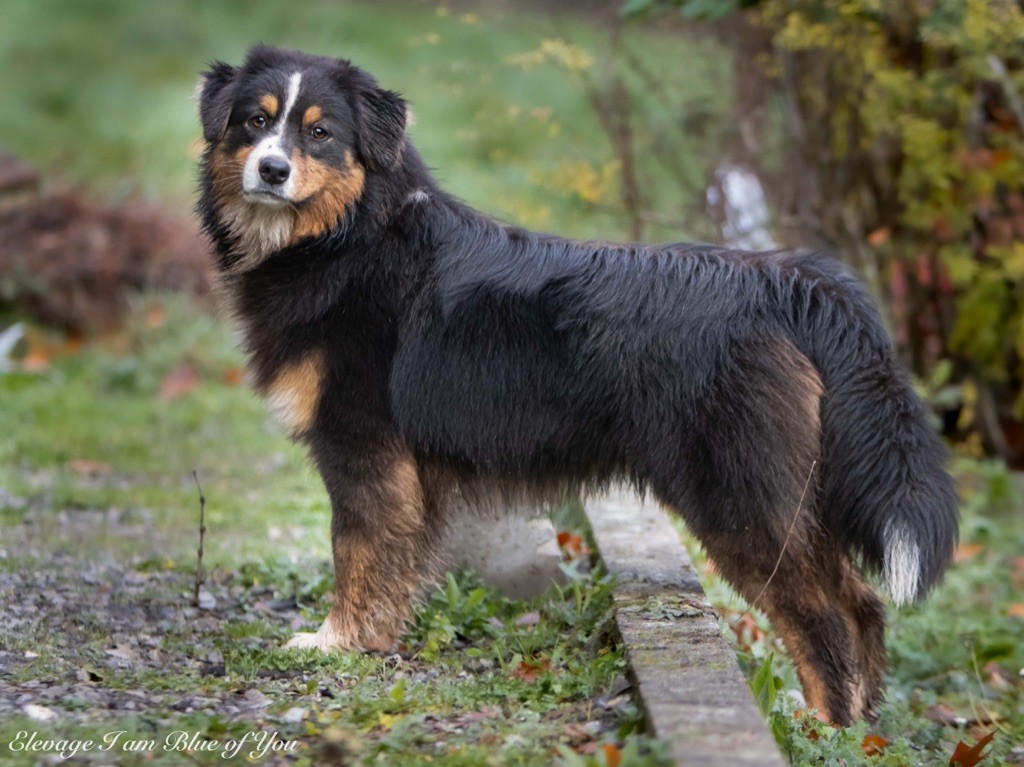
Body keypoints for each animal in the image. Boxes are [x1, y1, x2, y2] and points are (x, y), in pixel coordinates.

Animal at [193, 44, 958, 729]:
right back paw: (861, 730)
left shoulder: (362, 446)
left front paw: (337, 643)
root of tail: (794, 282)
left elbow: (356, 552)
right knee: (862, 603)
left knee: (820, 617)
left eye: (320, 132)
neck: (351, 234)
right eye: (255, 122)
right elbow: (394, 564)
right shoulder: (406, 473)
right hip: (789, 494)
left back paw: (825, 725)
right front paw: (373, 642)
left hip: (739, 497)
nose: (271, 168)